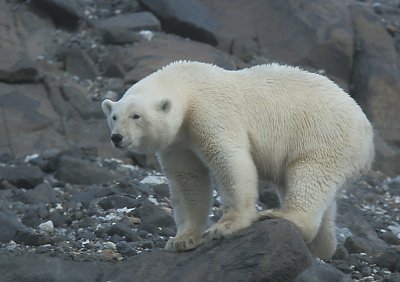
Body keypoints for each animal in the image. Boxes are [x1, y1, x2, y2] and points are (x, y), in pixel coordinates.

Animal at [101, 60, 376, 258]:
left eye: (136, 116)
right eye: (114, 116)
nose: (117, 137)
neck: (187, 84)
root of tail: (368, 136)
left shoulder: (211, 112)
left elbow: (230, 159)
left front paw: (224, 227)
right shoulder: (178, 142)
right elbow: (187, 179)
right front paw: (182, 240)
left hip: (323, 137)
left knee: (309, 175)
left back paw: (282, 216)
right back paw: (322, 247)